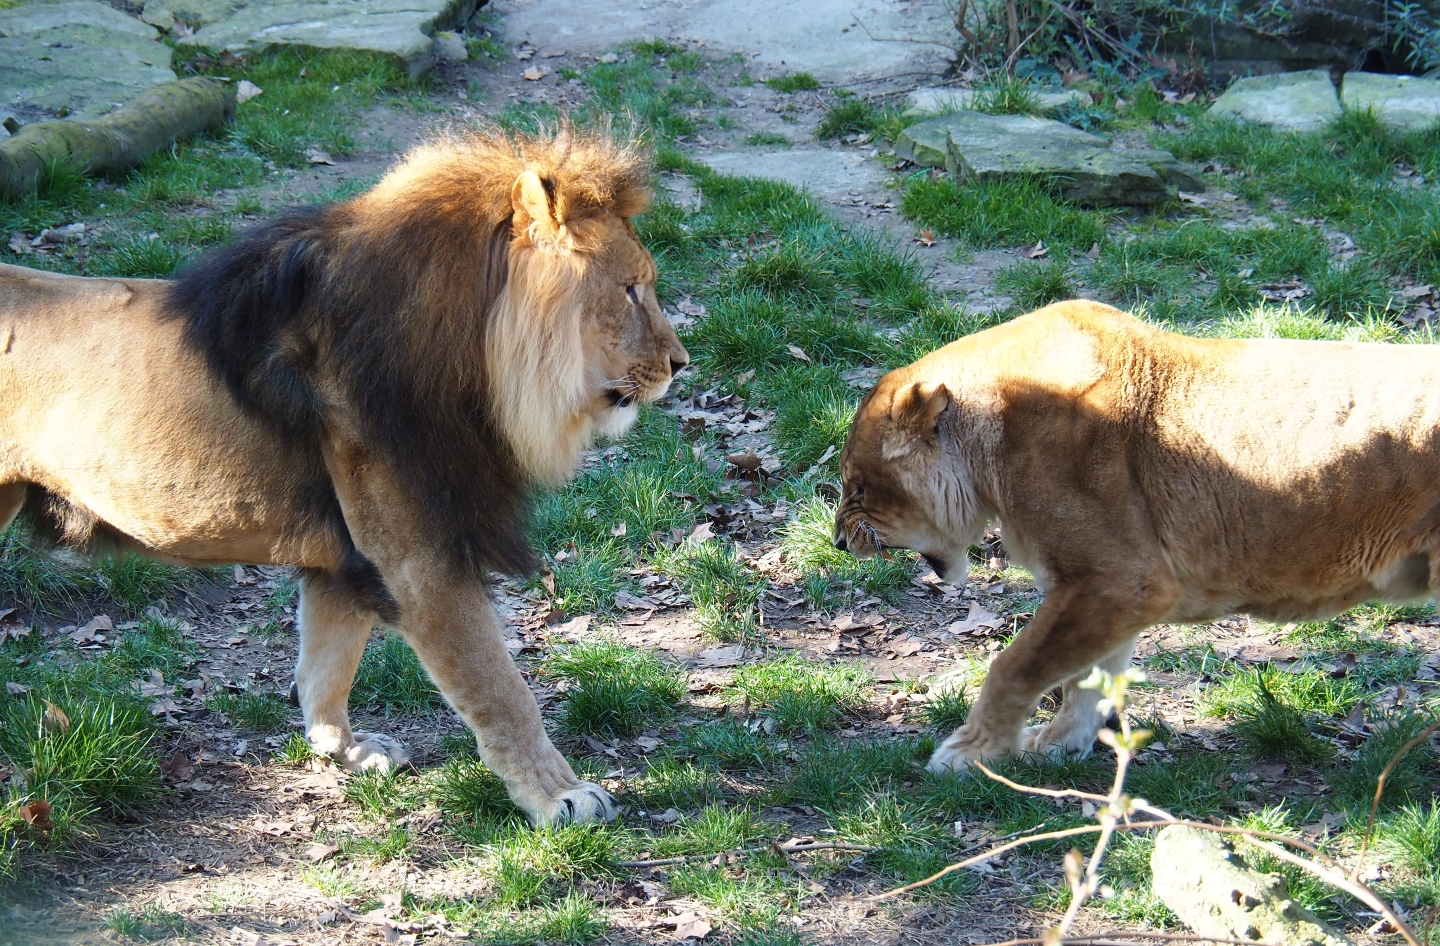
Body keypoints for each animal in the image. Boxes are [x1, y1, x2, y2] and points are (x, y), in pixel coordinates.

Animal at [0, 127, 688, 826]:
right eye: (632, 289)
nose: (680, 363)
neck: (470, 355)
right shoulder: (419, 559)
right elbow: (500, 687)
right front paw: (560, 795)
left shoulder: (345, 555)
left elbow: (326, 664)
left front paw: (345, 752)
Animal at [834, 299, 1440, 774]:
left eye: (858, 487)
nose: (839, 542)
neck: (989, 448)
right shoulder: (1117, 590)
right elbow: (1090, 678)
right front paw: (1059, 746)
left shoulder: (1121, 581)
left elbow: (1016, 666)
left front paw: (971, 753)